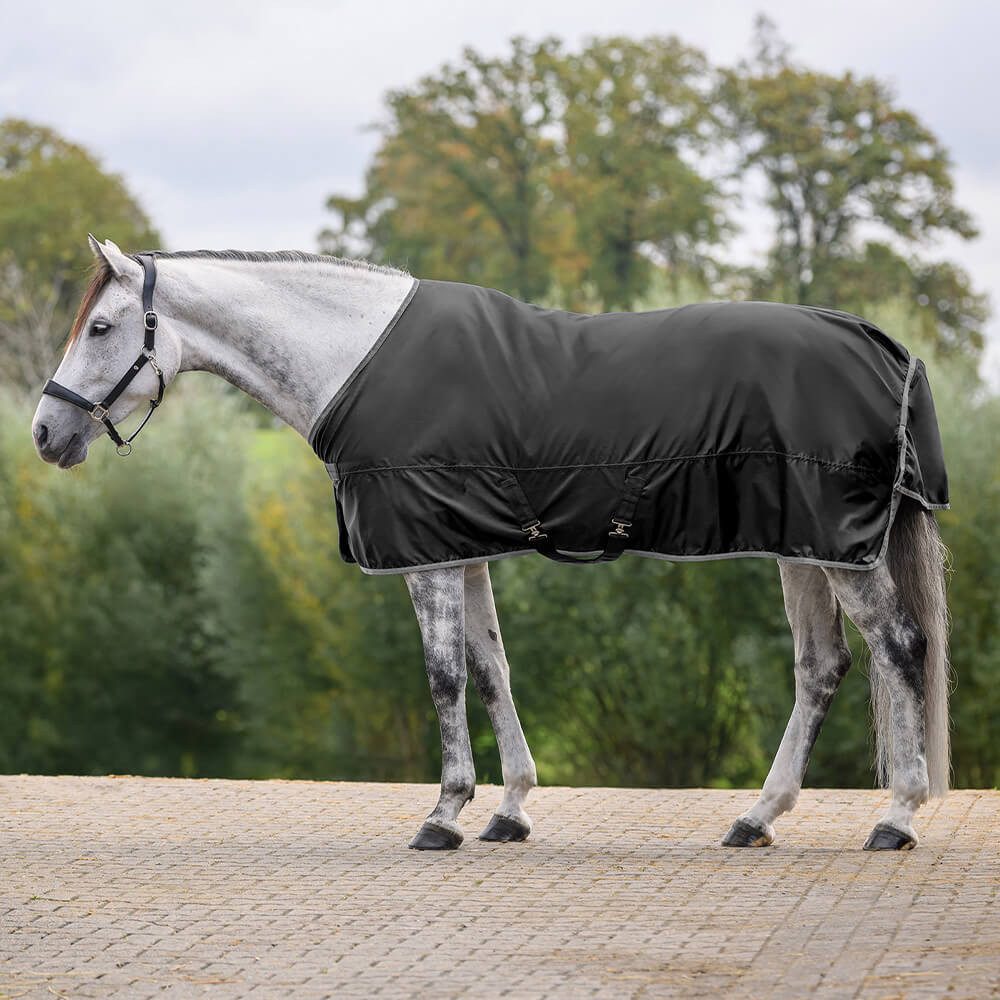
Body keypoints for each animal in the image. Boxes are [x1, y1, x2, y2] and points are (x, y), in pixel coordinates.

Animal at [31, 237, 950, 852]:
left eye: (103, 327)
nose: (45, 433)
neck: (353, 356)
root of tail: (887, 345)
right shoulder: (462, 546)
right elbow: (490, 667)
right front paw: (509, 810)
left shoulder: (429, 556)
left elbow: (443, 676)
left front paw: (444, 814)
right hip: (806, 548)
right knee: (822, 667)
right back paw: (756, 818)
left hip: (837, 549)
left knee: (900, 646)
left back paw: (895, 818)